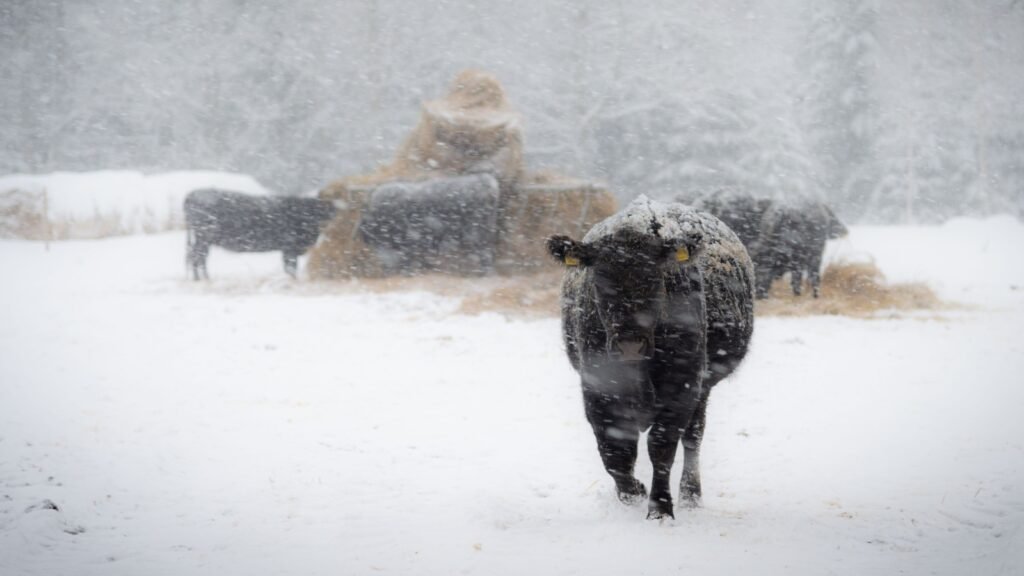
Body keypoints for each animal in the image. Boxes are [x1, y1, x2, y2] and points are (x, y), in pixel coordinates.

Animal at [186, 187, 337, 278]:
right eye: (316, 210)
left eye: (325, 210)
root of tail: (193, 194)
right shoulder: (290, 249)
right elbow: (291, 267)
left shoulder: (287, 250)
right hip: (203, 238)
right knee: (198, 257)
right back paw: (202, 279)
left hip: (202, 240)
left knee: (197, 257)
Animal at [358, 171, 501, 274]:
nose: (385, 265)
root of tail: (489, 185)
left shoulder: (412, 238)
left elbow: (409, 257)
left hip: (476, 232)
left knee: (483, 252)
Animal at [548, 194, 757, 518]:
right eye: (599, 280)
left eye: (655, 278)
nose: (630, 345)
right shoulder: (597, 390)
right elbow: (615, 453)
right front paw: (632, 493)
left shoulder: (681, 387)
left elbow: (661, 447)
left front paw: (660, 508)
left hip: (702, 388)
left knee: (693, 436)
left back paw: (691, 495)